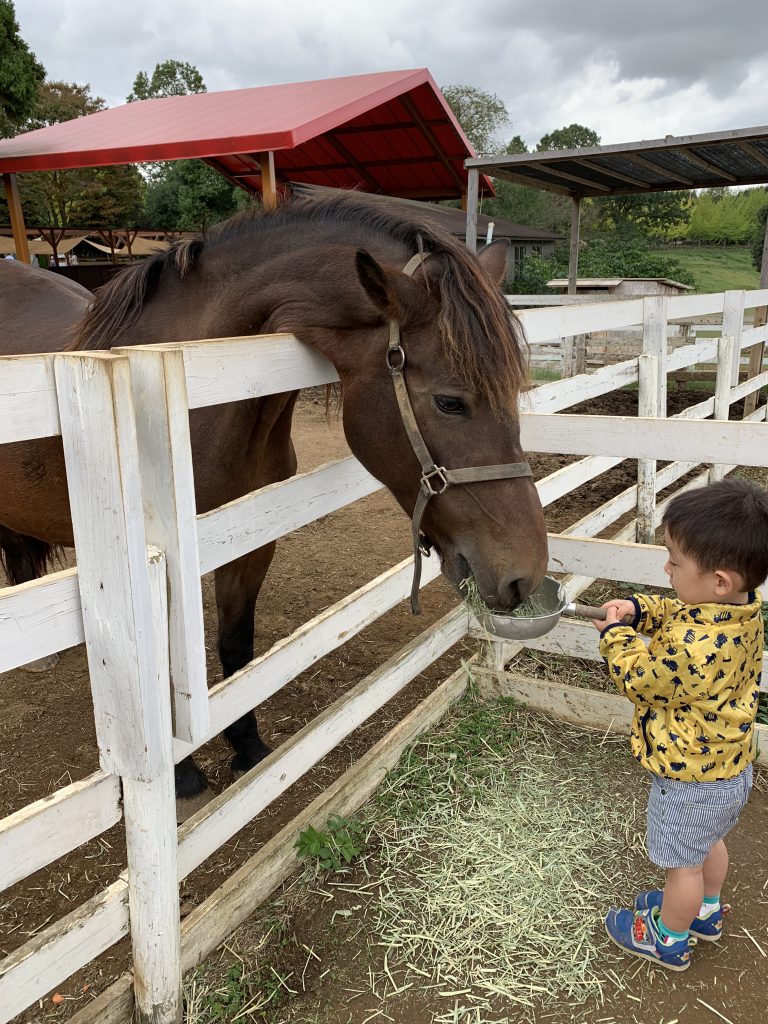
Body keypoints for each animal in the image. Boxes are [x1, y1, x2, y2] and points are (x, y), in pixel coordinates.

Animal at [1, 195, 552, 811]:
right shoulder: (157, 574)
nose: (524, 575)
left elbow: (237, 649)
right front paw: (185, 775)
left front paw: (247, 747)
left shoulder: (250, 543)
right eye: (451, 402)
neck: (193, 406)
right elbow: (165, 682)